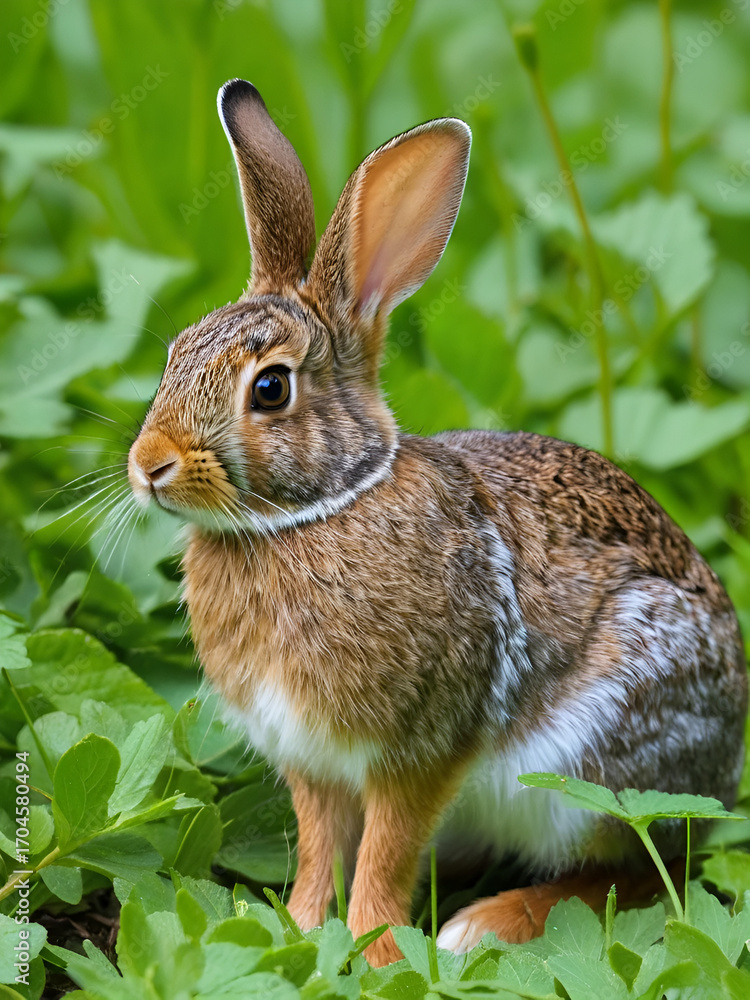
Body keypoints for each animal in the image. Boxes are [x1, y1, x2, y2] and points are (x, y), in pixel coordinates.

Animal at [128, 78, 748, 967]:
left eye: (270, 389)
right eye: (176, 352)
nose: (149, 465)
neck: (316, 512)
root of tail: (725, 764)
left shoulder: (420, 751)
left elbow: (386, 852)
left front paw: (374, 951)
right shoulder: (312, 761)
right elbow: (321, 848)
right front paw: (299, 931)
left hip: (595, 767)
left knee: (640, 871)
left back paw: (480, 926)